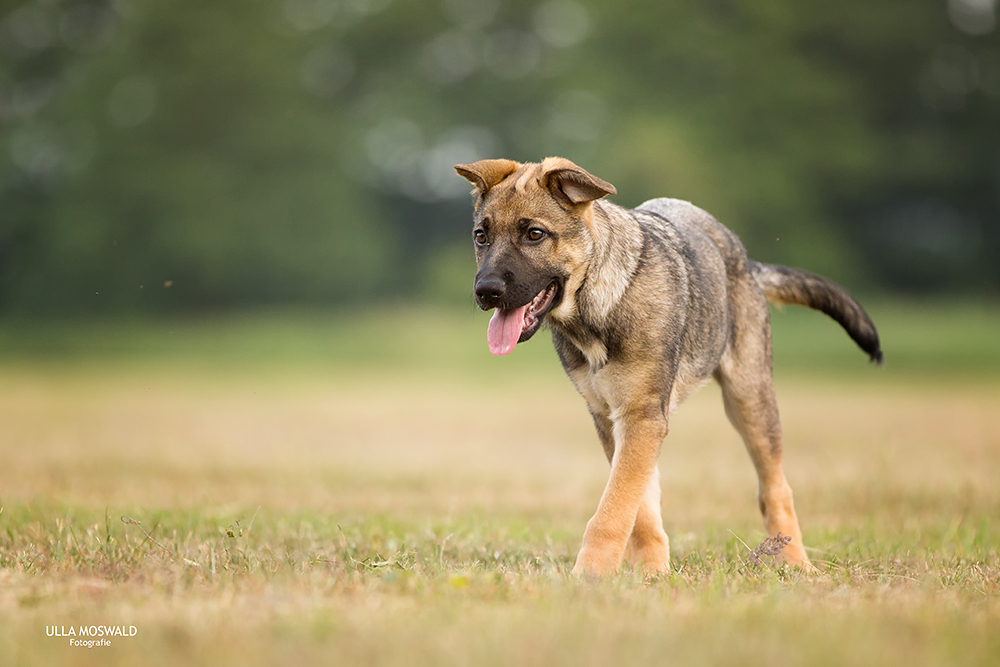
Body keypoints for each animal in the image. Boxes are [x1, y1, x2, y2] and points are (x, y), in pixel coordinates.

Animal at [456, 158, 884, 580]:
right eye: (481, 236)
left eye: (534, 234)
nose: (485, 291)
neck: (599, 305)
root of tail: (744, 258)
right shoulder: (614, 418)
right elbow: (637, 503)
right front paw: (651, 571)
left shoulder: (642, 416)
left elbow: (613, 508)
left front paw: (590, 575)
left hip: (750, 397)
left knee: (775, 486)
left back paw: (795, 562)